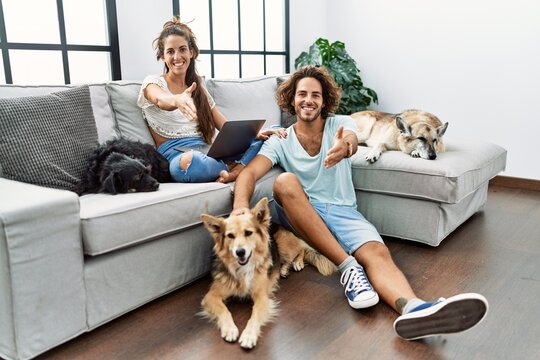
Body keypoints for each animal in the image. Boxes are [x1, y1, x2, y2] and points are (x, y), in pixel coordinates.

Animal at [199, 197, 334, 348]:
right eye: (230, 236)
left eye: (248, 233)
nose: (240, 252)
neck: (244, 269)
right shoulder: (211, 296)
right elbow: (224, 310)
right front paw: (230, 329)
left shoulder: (262, 296)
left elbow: (255, 315)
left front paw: (249, 335)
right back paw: (283, 269)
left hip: (284, 245)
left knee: (301, 250)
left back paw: (296, 262)